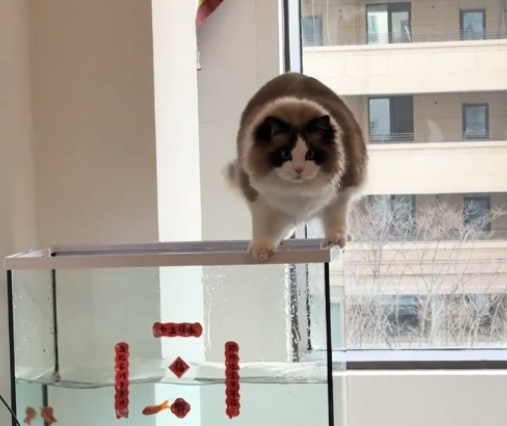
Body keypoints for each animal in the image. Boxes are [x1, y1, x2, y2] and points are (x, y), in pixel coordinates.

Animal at [225, 72, 367, 261]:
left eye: (311, 154)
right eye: (285, 154)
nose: (298, 169)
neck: (297, 192)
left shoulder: (342, 192)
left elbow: (336, 219)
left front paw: (335, 240)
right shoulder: (258, 198)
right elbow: (262, 226)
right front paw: (261, 249)